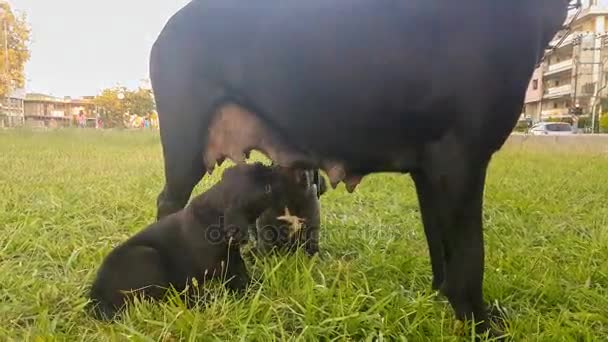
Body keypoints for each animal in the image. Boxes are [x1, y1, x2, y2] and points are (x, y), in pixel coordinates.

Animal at [85, 163, 304, 320]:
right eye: (267, 189)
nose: (281, 166)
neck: (216, 212)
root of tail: (96, 295)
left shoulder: (232, 258)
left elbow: (242, 275)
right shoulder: (207, 270)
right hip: (148, 256)